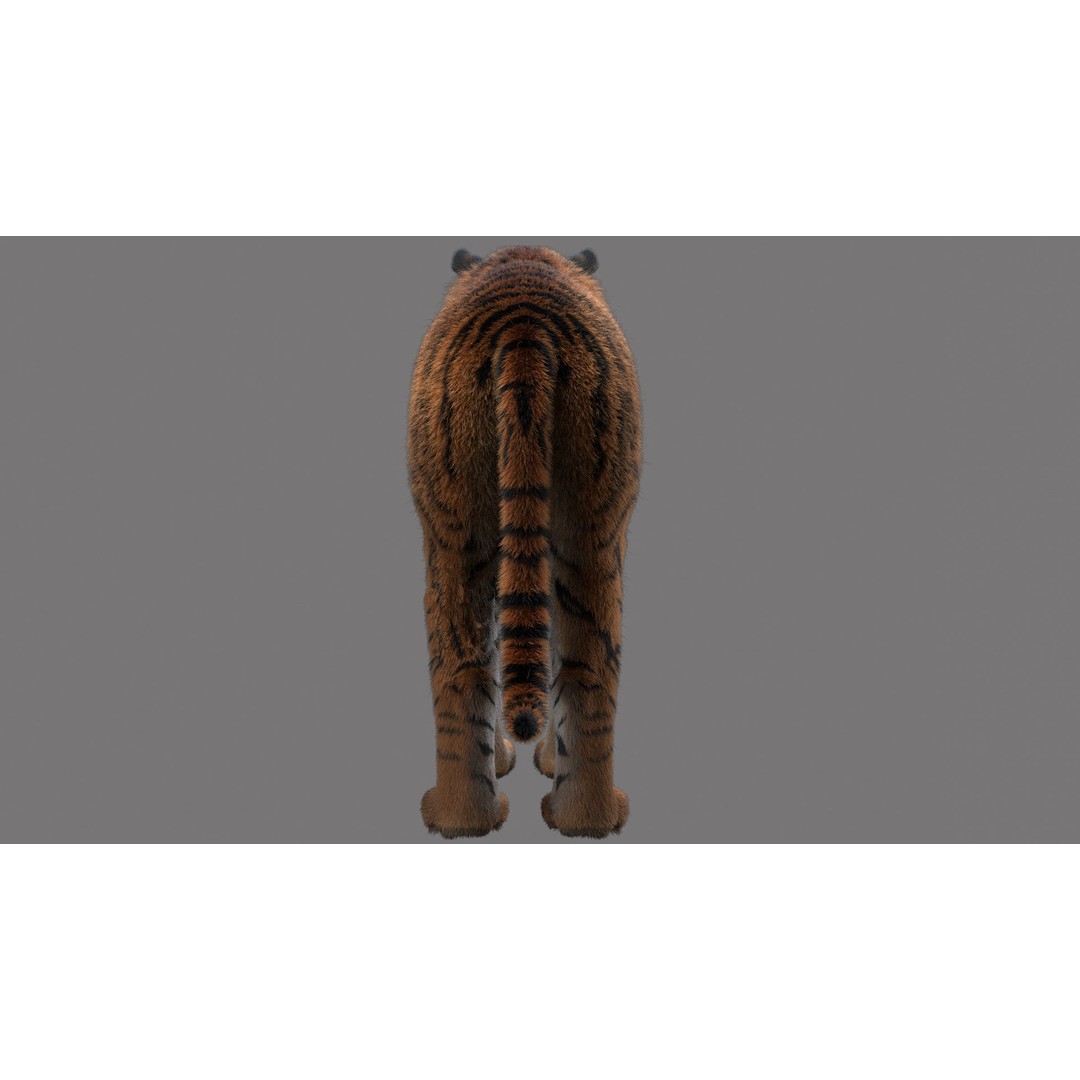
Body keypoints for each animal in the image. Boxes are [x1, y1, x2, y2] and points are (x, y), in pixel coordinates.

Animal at [407, 245, 642, 838]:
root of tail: (525, 325)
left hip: (459, 537)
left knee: (465, 668)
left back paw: (465, 818)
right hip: (589, 534)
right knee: (581, 669)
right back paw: (574, 820)